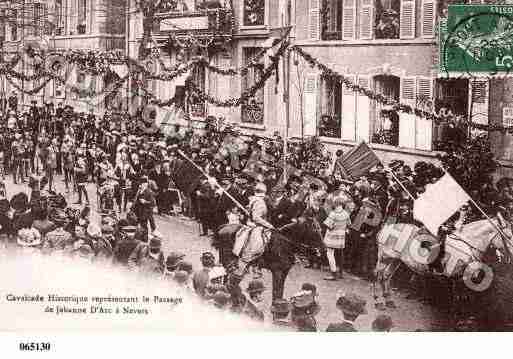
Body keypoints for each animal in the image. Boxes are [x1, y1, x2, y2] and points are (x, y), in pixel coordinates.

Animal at [372, 217, 512, 312]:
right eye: (509, 236)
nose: (509, 256)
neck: (465, 245)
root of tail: (385, 228)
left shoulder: (460, 277)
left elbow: (460, 297)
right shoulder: (452, 276)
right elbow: (454, 297)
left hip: (395, 260)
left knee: (386, 276)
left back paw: (389, 301)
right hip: (384, 258)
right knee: (377, 276)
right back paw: (378, 302)